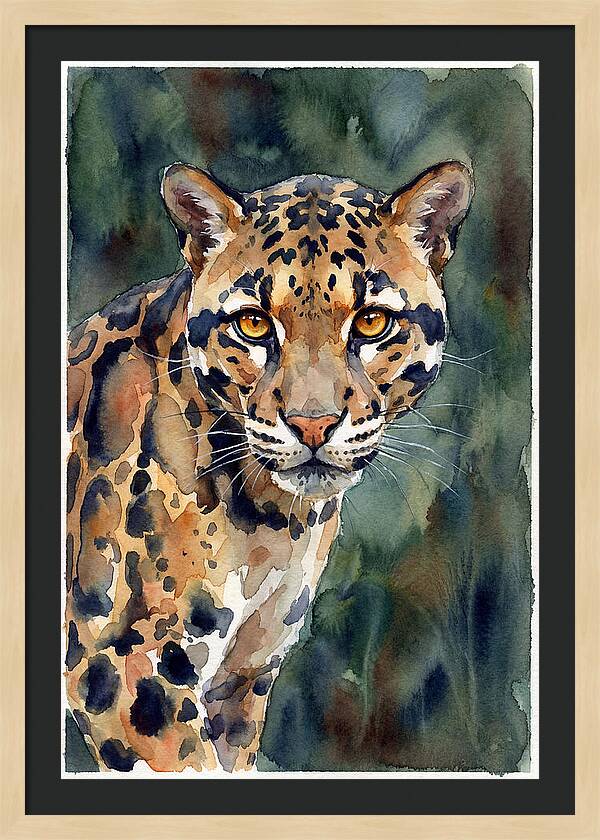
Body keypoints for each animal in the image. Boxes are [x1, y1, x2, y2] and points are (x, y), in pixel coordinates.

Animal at [65, 159, 473, 773]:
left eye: (372, 323)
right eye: (254, 325)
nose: (313, 424)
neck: (270, 520)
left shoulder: (241, 679)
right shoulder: (122, 665)